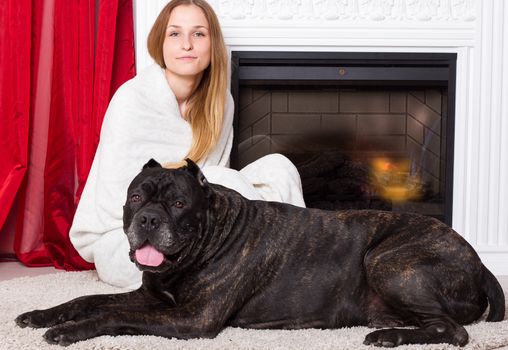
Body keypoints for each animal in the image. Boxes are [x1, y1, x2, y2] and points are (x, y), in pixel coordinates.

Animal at [14, 159, 504, 348]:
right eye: (136, 196)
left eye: (179, 204)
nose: (149, 218)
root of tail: (479, 262)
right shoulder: (153, 298)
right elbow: (88, 298)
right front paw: (41, 314)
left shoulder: (190, 319)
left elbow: (111, 315)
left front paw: (69, 331)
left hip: (386, 261)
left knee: (454, 331)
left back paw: (389, 337)